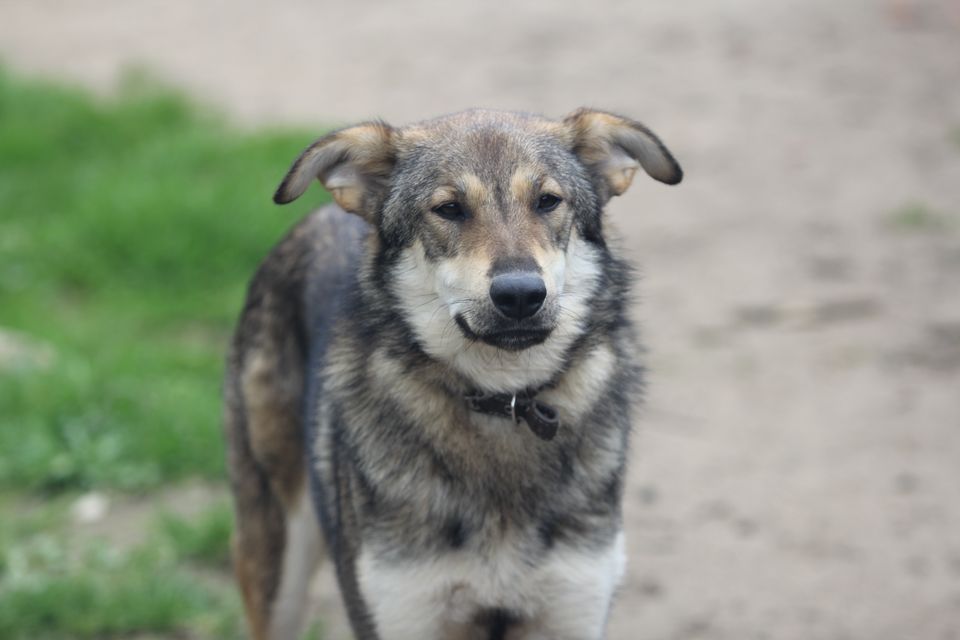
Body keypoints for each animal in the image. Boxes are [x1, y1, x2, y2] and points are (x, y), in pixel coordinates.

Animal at [223, 107, 684, 636]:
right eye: (449, 209)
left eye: (547, 201)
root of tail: (318, 215)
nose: (521, 294)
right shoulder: (401, 614)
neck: (503, 402)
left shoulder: (573, 610)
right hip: (278, 560)